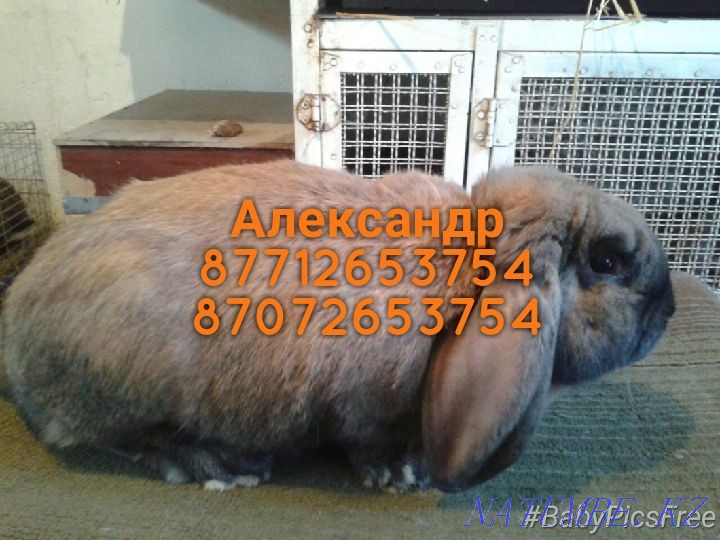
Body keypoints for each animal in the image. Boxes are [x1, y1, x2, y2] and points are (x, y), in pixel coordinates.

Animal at [0, 160, 675, 493]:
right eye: (608, 263)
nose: (668, 311)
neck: (464, 259)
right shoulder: (364, 407)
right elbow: (367, 442)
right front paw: (400, 477)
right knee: (115, 437)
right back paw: (221, 466)